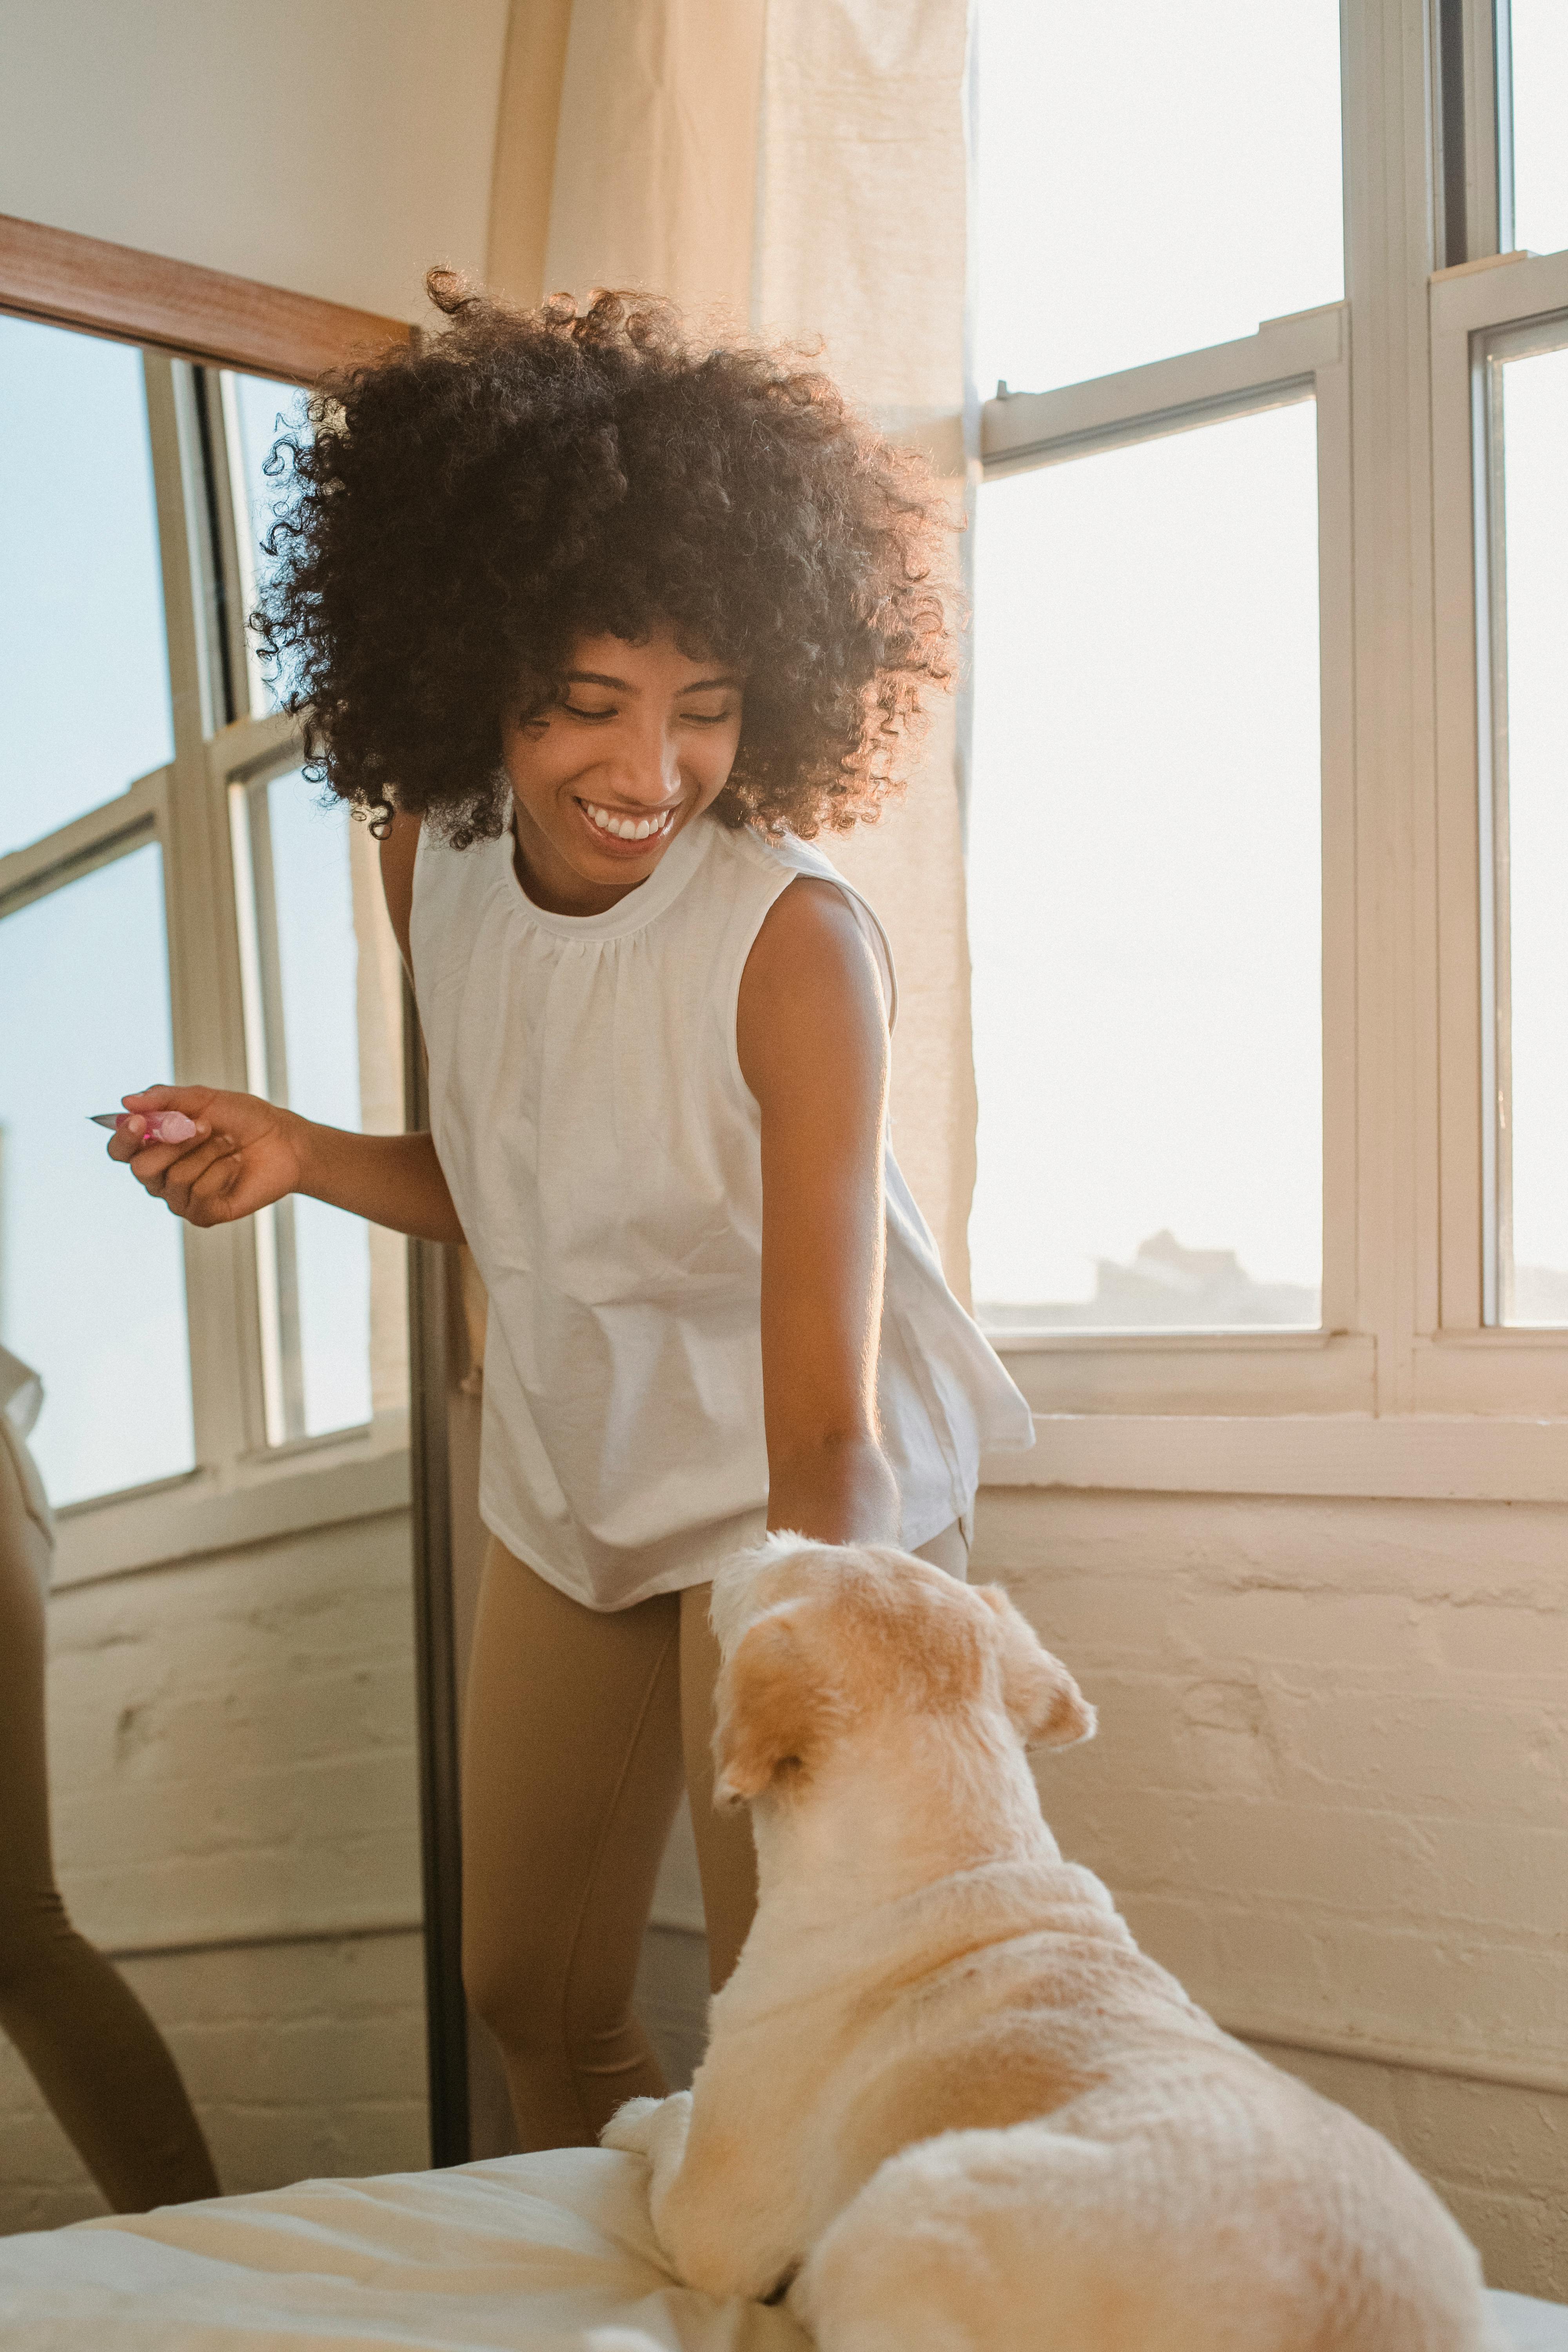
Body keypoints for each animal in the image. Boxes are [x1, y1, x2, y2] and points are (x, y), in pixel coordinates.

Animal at [606, 1534, 1504, 2343]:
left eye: (783, 1562)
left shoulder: (711, 2218)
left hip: (908, 2200)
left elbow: (668, 2121)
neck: (961, 1855)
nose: (749, 1538)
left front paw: (632, 2115)